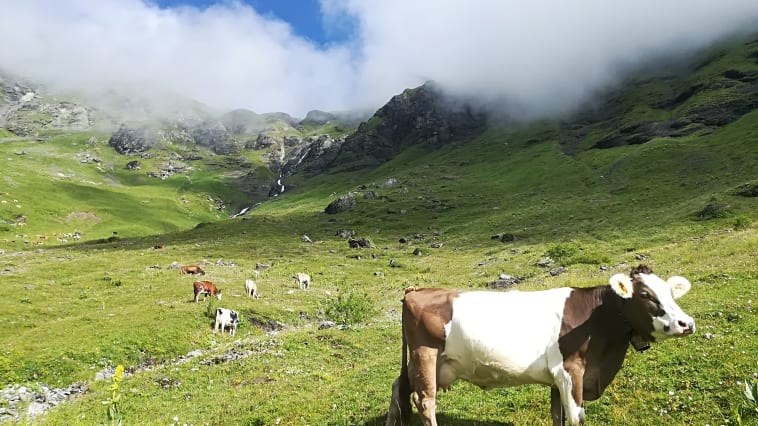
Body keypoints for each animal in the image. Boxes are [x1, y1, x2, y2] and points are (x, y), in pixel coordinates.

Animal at [388, 264, 696, 424]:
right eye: (646, 295)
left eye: (671, 293)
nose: (687, 323)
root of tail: (417, 291)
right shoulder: (571, 370)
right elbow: (576, 416)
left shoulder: (557, 378)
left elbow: (557, 415)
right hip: (425, 353)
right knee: (425, 400)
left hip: (423, 362)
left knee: (398, 387)